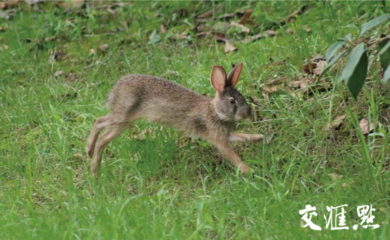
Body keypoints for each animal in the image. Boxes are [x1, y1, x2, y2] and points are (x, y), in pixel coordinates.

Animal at [85, 62, 262, 177]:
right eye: (232, 101)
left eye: (242, 96)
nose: (248, 112)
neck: (215, 111)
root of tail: (115, 91)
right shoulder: (218, 138)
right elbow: (231, 155)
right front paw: (249, 170)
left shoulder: (226, 134)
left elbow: (242, 137)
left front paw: (258, 137)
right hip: (123, 119)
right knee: (103, 139)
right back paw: (94, 170)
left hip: (121, 117)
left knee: (100, 120)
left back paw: (88, 150)